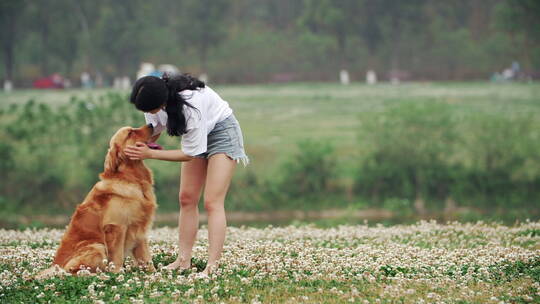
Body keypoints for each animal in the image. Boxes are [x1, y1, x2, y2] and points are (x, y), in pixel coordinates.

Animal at [36, 124, 156, 278]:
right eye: (130, 133)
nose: (151, 125)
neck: (131, 178)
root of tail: (57, 266)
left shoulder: (139, 230)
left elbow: (146, 258)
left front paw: (155, 274)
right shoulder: (116, 227)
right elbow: (117, 257)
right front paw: (117, 273)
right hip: (97, 246)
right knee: (73, 272)